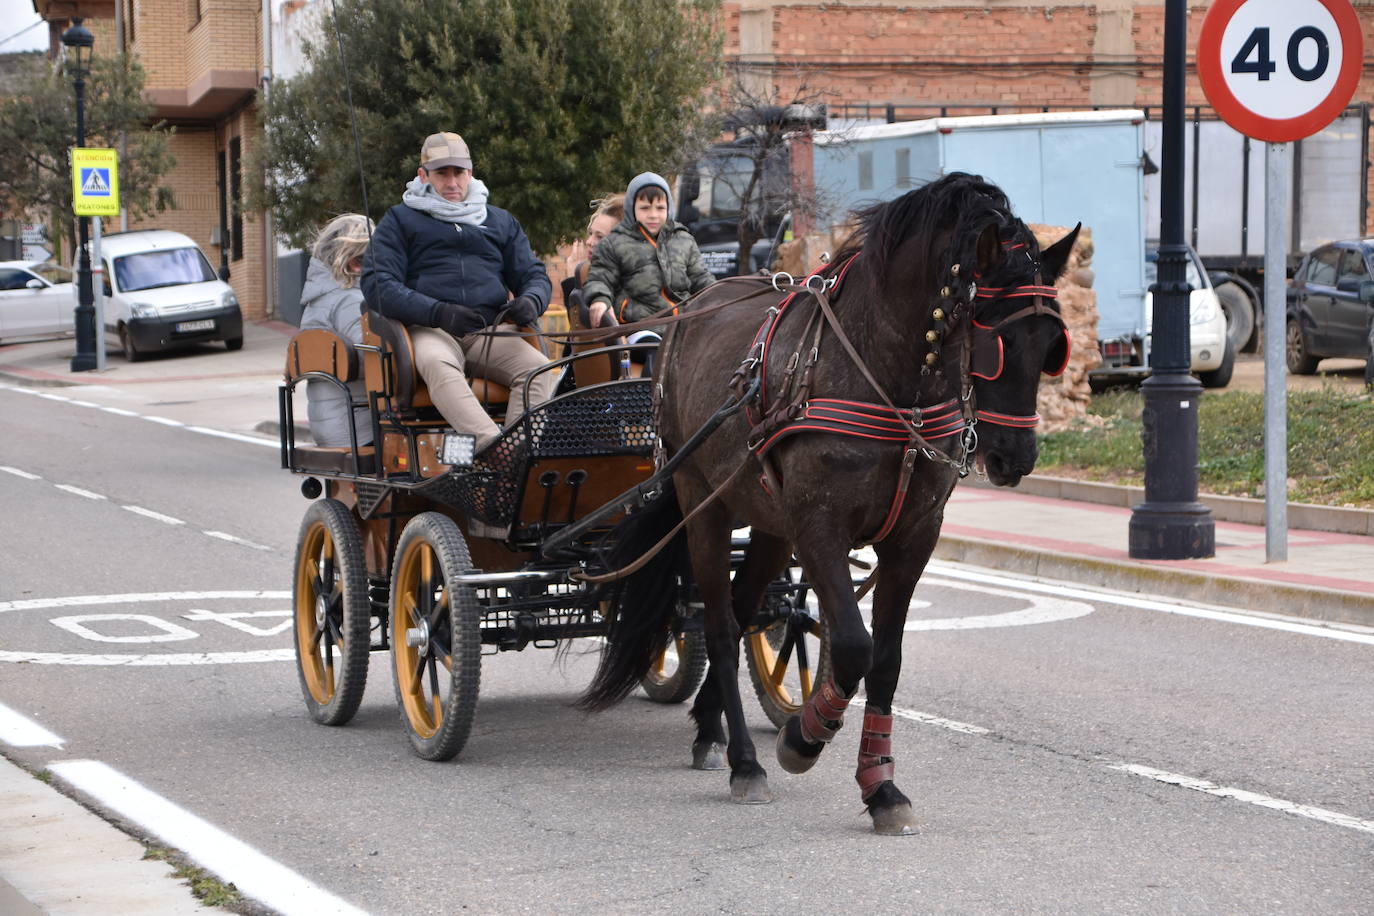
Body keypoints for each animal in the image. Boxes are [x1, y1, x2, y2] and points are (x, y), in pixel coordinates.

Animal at [574, 173, 1077, 840]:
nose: (1014, 456)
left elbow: (884, 660)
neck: (889, 382)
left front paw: (881, 786)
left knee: (742, 611)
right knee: (720, 624)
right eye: (996, 338)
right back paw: (745, 763)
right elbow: (854, 646)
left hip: (768, 528)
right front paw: (804, 736)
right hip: (704, 507)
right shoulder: (820, 530)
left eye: (1052, 346)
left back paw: (710, 729)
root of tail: (687, 316)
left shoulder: (912, 538)